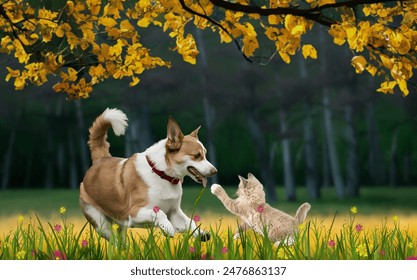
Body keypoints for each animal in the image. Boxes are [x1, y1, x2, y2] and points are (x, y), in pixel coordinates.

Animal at [79, 108, 218, 242]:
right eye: (197, 156)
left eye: (205, 154)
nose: (215, 171)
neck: (162, 174)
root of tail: (101, 159)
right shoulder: (135, 212)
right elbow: (160, 213)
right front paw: (168, 228)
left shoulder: (174, 212)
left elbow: (189, 221)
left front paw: (201, 234)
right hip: (102, 225)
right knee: (114, 241)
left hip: (121, 225)